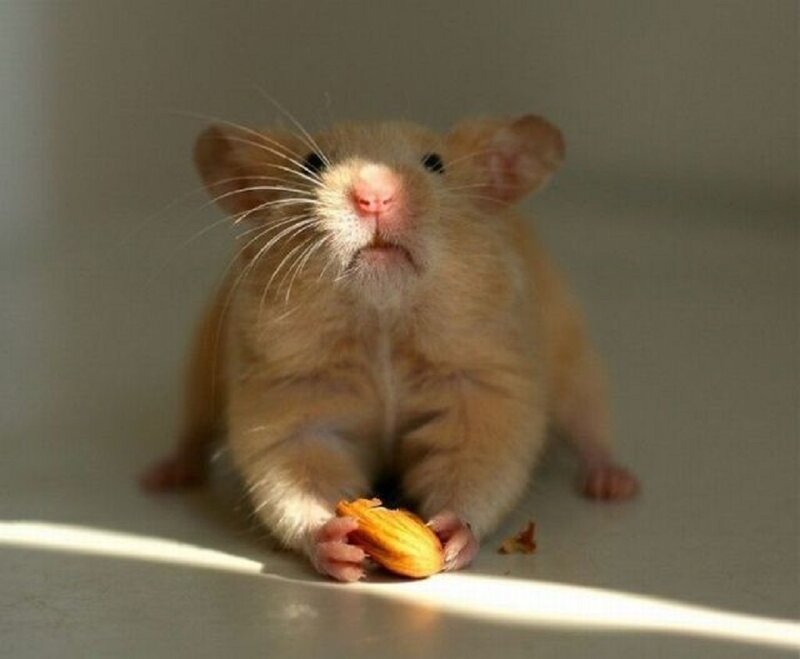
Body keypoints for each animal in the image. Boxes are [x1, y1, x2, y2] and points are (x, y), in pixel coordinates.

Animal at [141, 114, 639, 581]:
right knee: (192, 433)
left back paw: (613, 483)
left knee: (591, 426)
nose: (375, 197)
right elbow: (298, 478)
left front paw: (448, 539)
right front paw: (339, 547)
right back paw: (164, 475)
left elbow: (473, 468)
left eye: (435, 164)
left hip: (576, 358)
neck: (382, 320)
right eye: (312, 163)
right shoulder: (290, 400)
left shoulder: (481, 393)